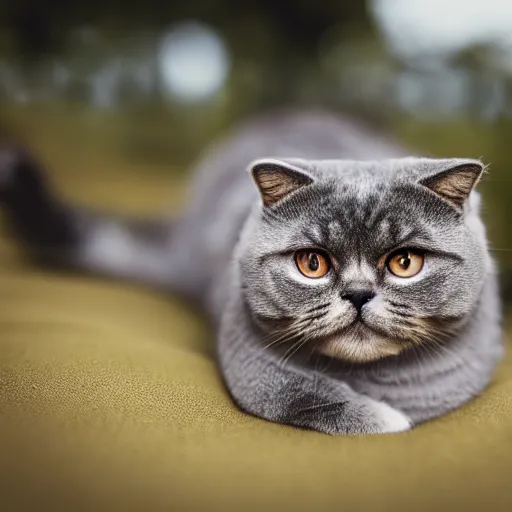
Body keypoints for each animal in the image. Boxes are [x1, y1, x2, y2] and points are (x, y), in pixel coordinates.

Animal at [0, 111, 504, 432]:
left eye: (404, 263)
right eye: (312, 263)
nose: (359, 293)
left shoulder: (455, 375)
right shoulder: (250, 359)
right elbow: (299, 392)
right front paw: (386, 418)